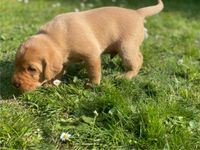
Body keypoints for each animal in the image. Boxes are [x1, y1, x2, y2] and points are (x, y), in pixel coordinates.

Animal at [11, 0, 163, 91]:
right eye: (15, 64)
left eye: (32, 69)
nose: (14, 84)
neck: (54, 37)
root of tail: (137, 12)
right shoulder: (62, 60)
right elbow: (58, 71)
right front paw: (51, 83)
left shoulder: (92, 54)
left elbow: (94, 71)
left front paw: (93, 84)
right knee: (140, 56)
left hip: (126, 47)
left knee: (136, 60)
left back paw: (125, 76)